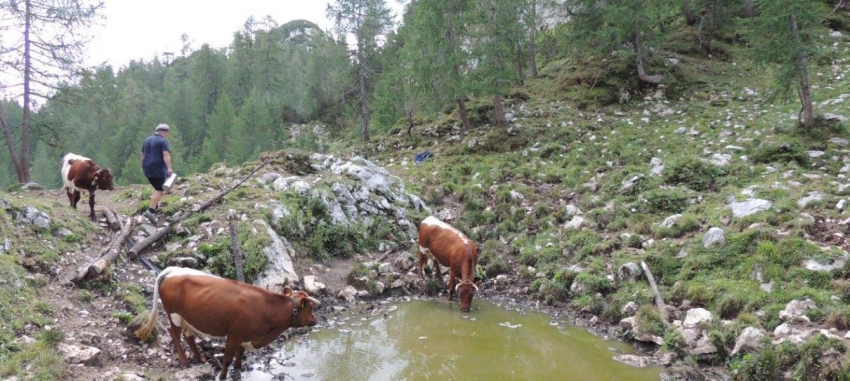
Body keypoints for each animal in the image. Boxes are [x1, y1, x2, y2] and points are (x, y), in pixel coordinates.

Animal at [136, 266, 322, 378]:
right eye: (311, 308)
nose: (315, 320)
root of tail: (172, 269)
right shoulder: (234, 335)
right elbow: (227, 359)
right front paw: (222, 376)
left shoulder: (245, 335)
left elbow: (241, 352)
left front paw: (239, 367)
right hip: (174, 315)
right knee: (174, 334)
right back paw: (183, 360)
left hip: (188, 318)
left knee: (188, 336)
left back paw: (201, 359)